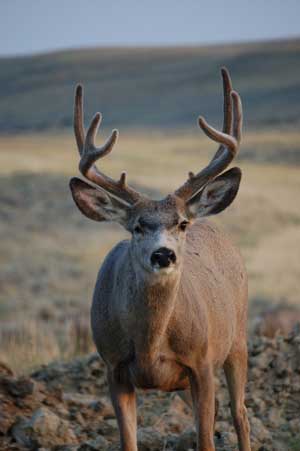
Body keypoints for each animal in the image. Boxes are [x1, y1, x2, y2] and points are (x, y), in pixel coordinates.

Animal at [69, 67, 251, 451]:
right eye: (137, 226)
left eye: (181, 223)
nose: (163, 254)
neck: (150, 344)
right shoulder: (113, 368)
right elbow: (129, 441)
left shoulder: (202, 363)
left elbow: (207, 440)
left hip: (238, 338)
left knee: (240, 414)